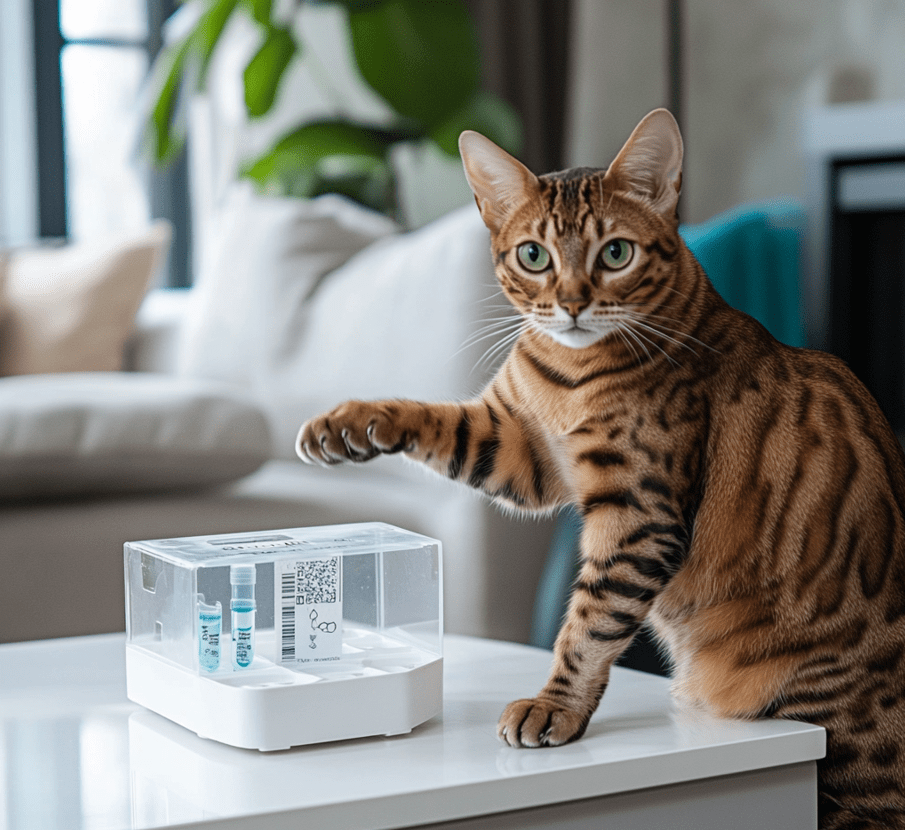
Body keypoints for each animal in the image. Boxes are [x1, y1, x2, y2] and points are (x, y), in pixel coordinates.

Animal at [300, 110, 904, 830]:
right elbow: (434, 418)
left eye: (615, 254)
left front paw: (554, 705)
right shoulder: (520, 450)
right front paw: (348, 424)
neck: (568, 376)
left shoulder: (637, 511)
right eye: (533, 255)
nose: (571, 304)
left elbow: (589, 622)